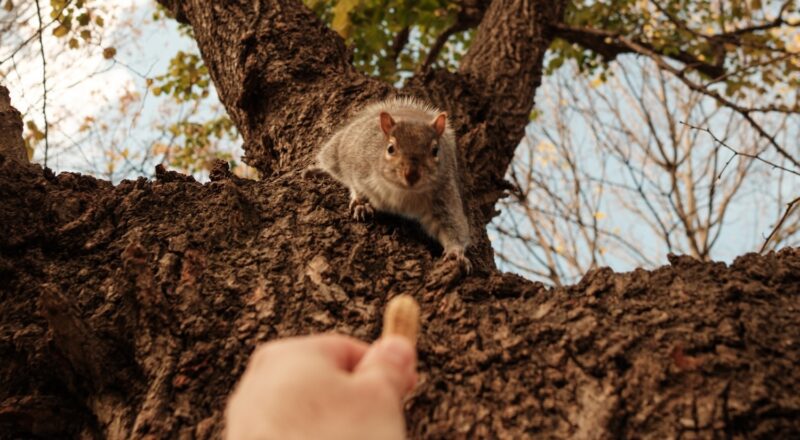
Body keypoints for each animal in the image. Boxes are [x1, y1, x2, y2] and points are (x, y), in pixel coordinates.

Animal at [306, 97, 472, 273]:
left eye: (435, 150)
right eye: (390, 148)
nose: (411, 175)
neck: (403, 191)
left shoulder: (444, 195)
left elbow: (453, 225)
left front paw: (456, 253)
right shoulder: (359, 168)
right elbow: (356, 186)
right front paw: (361, 204)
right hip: (337, 150)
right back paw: (319, 170)